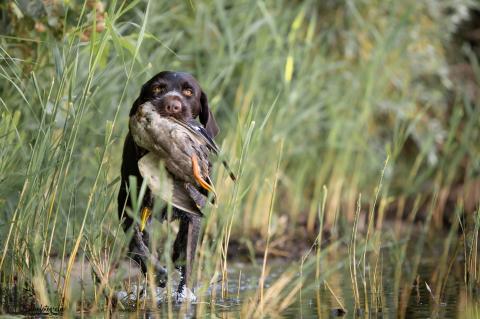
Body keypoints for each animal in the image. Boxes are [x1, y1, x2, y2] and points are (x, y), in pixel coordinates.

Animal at [118, 71, 219, 298]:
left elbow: (186, 255)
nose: (172, 105)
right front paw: (157, 274)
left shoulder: (193, 216)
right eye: (157, 88)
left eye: (189, 91)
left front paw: (184, 295)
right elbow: (137, 246)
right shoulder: (128, 211)